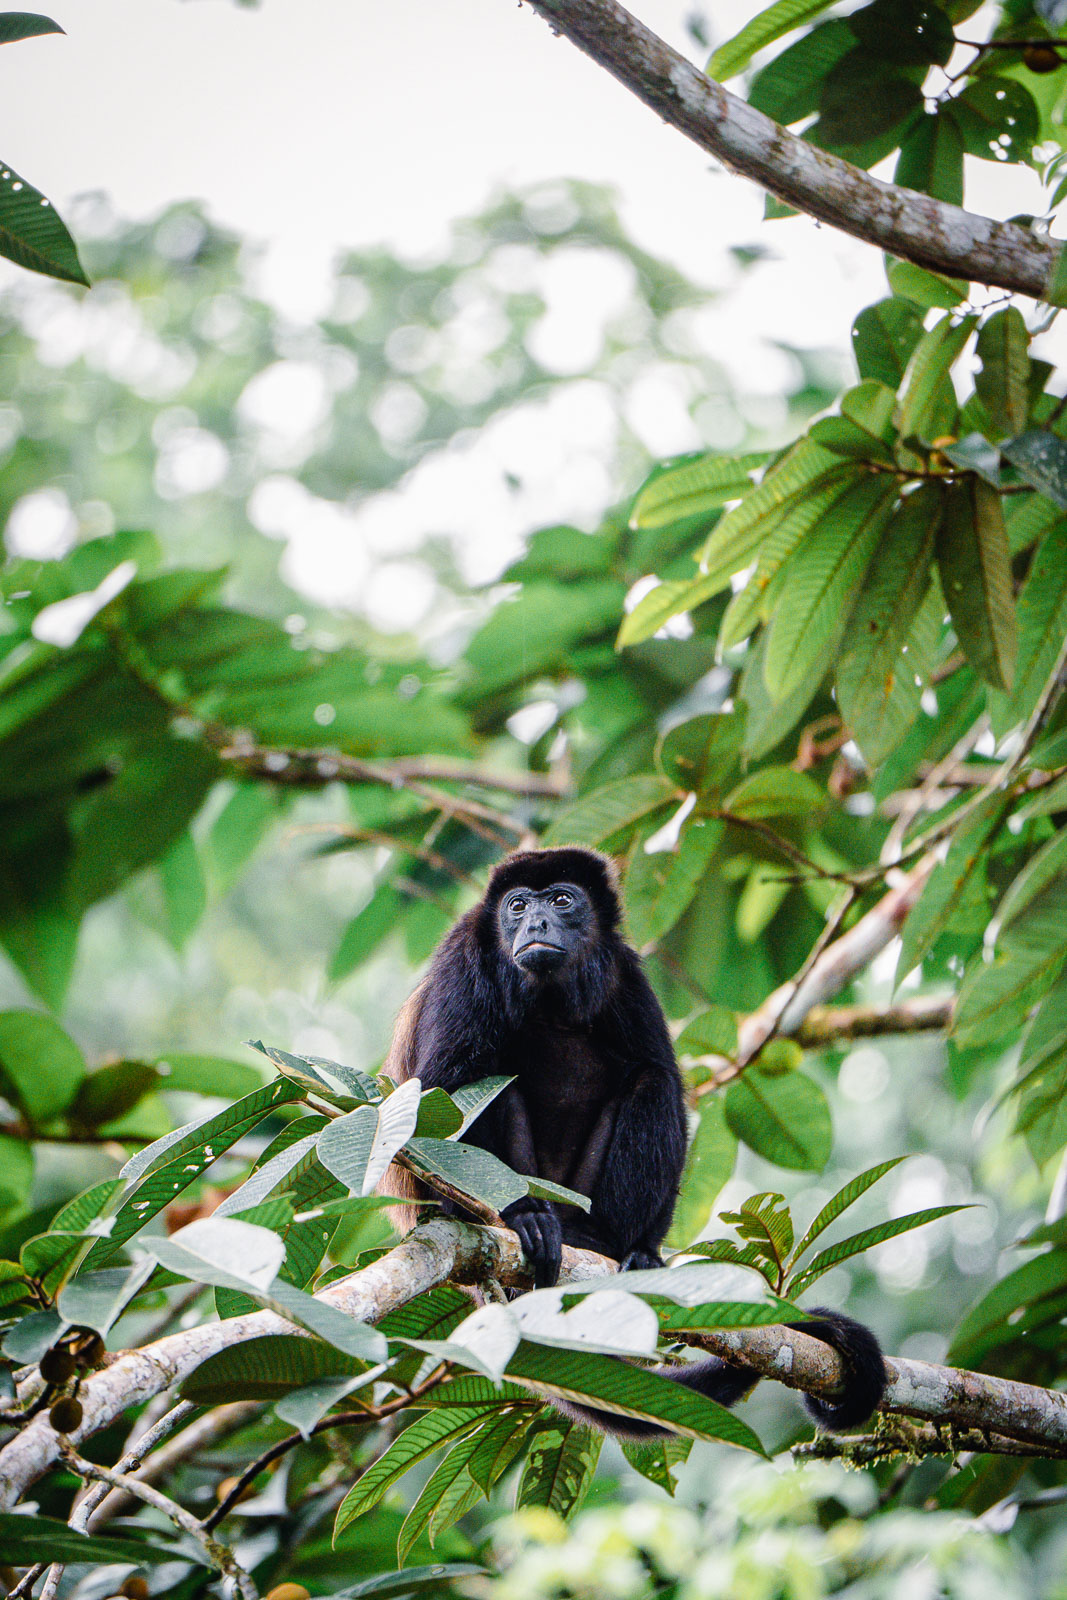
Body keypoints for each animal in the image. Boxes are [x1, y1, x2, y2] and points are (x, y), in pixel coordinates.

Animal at [383, 845, 886, 1437]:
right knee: (486, 1083)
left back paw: (620, 1248)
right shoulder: (465, 962)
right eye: (517, 906)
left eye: (562, 900)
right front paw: (515, 1213)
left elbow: (661, 1070)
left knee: (651, 1082)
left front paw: (648, 1250)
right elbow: (442, 1090)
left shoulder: (626, 971)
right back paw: (516, 1219)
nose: (535, 924)